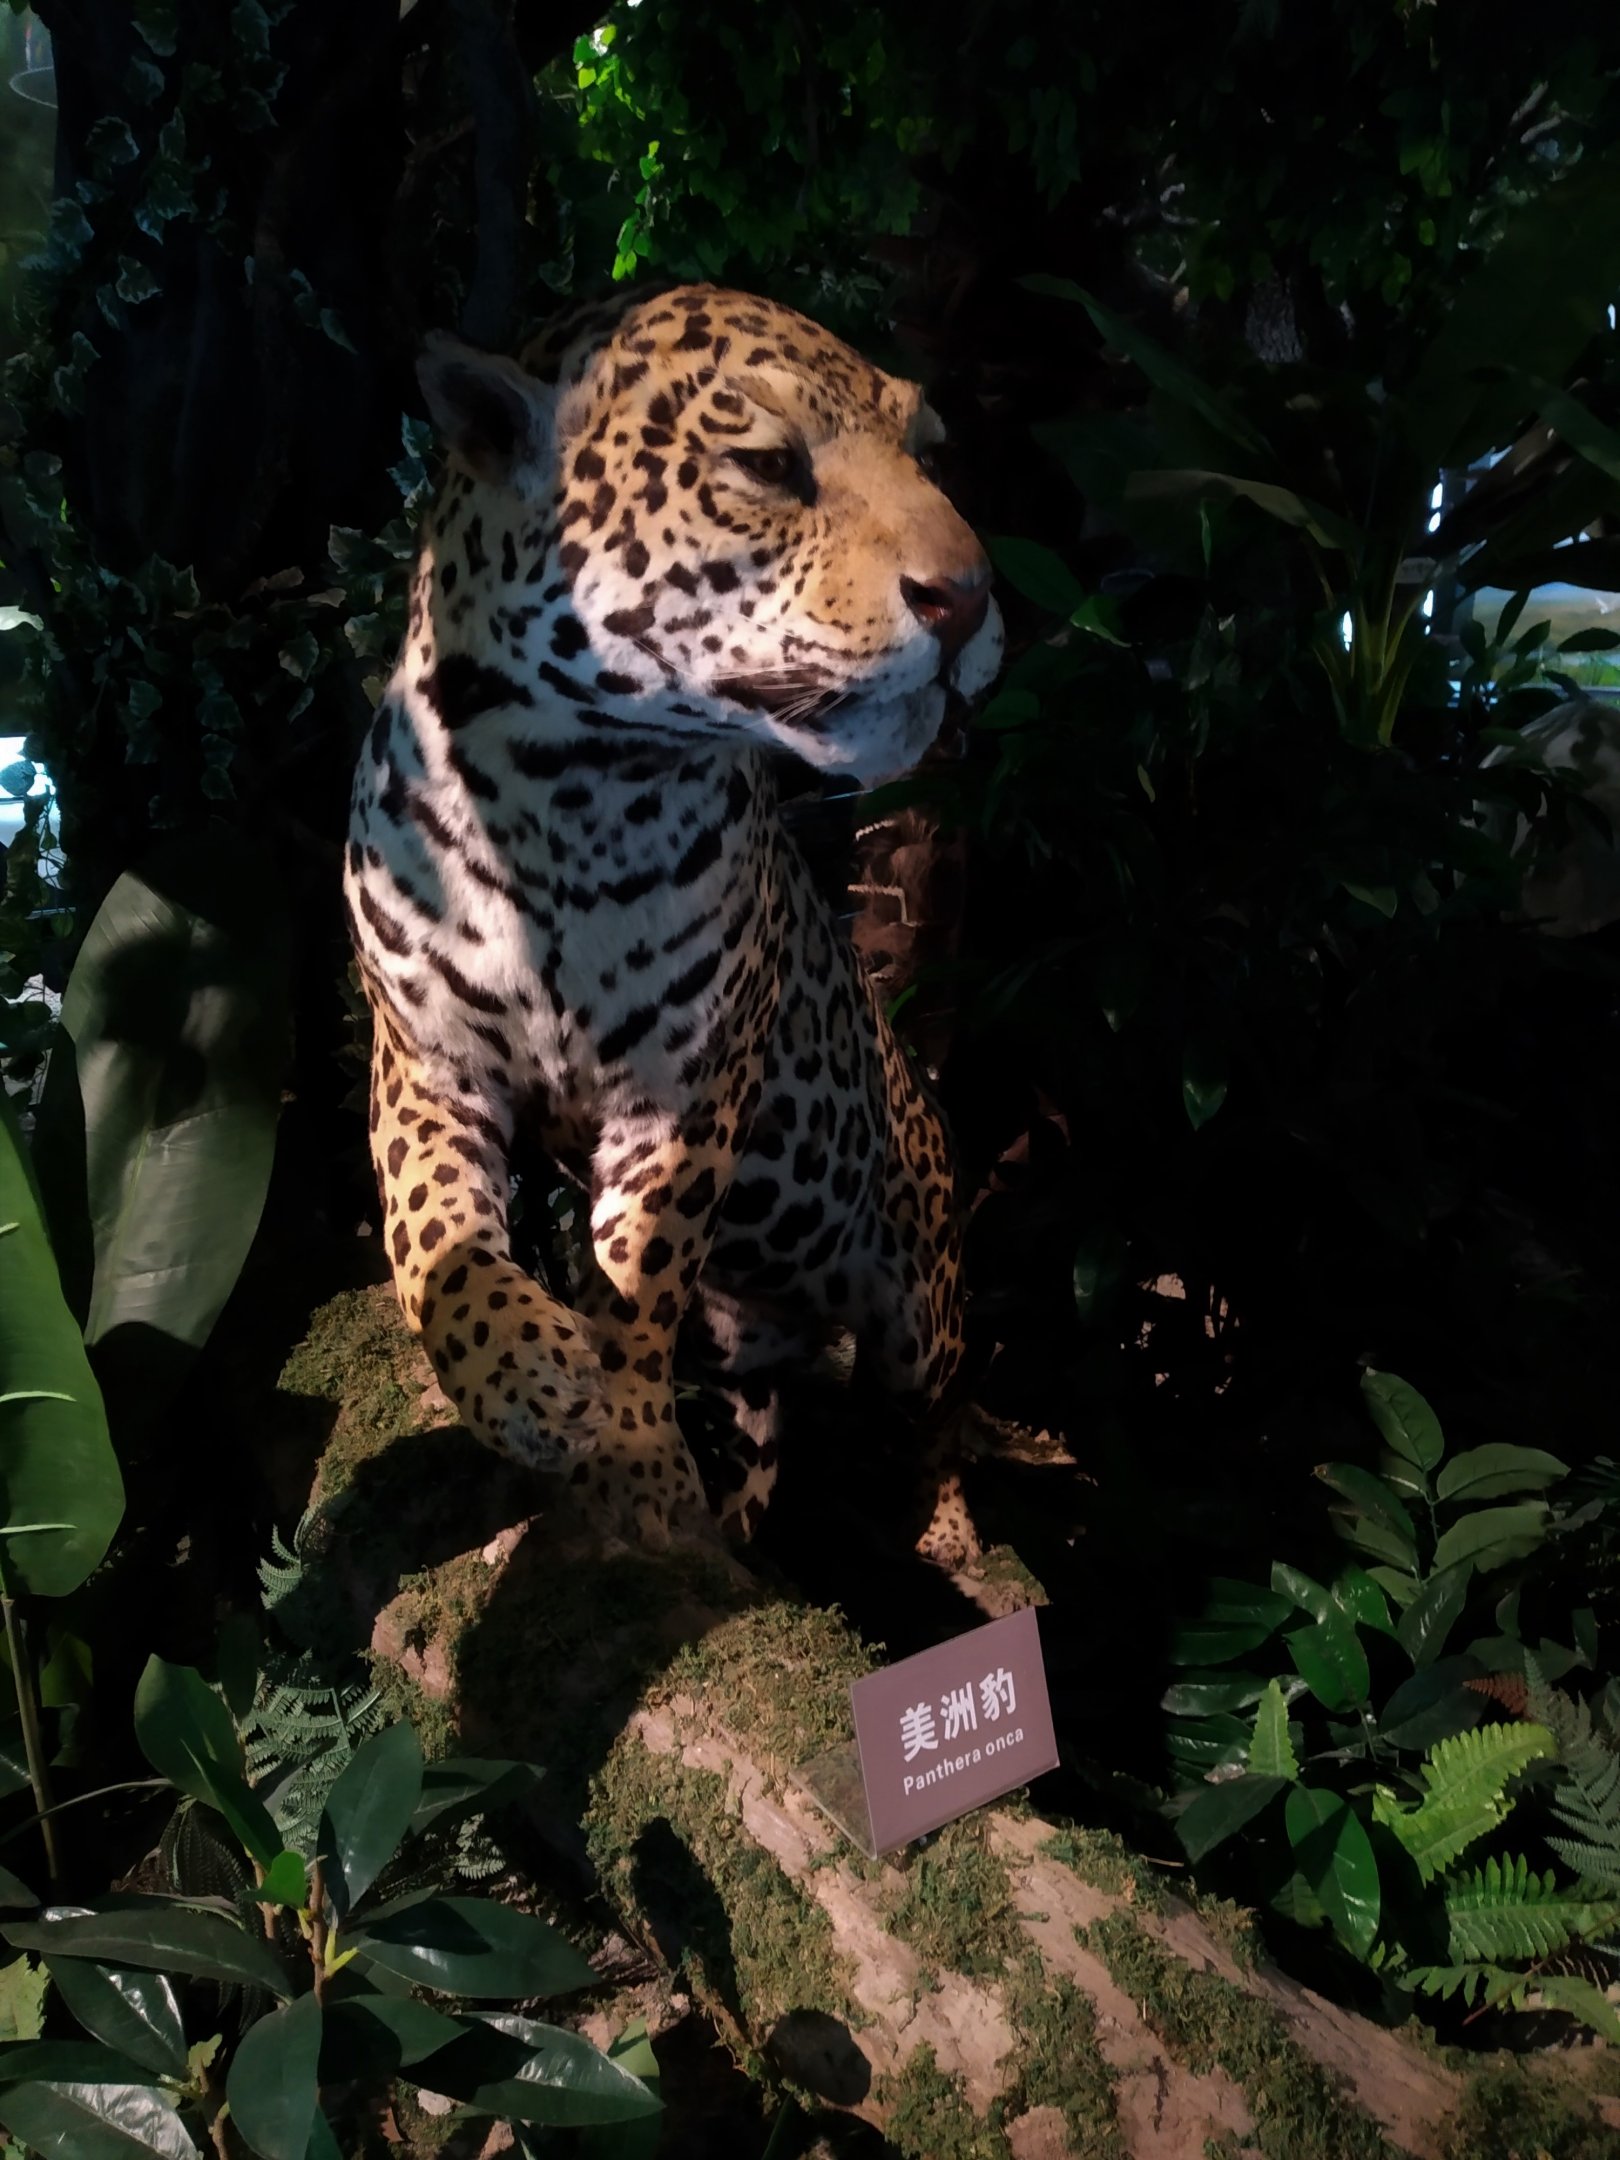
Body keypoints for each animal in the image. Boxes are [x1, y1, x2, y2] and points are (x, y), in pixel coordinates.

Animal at [344, 283, 1004, 1554]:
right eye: (766, 464)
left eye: (928, 454)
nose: (970, 599)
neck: (564, 800)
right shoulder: (423, 1060)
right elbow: (425, 1230)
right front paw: (520, 1375)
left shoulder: (685, 1095)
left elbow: (638, 1287)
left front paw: (638, 1462)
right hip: (751, 1344)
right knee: (766, 1412)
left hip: (923, 1299)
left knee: (935, 1420)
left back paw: (944, 1529)